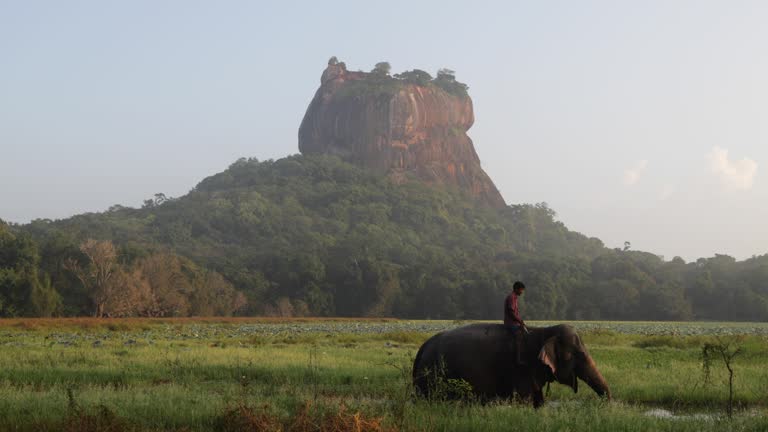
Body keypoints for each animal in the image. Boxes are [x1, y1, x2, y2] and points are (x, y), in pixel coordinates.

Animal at [414, 322, 612, 406]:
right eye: (579, 355)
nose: (607, 405)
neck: (543, 330)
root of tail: (423, 347)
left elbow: (538, 400)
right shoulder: (521, 369)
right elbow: (524, 399)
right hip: (433, 375)